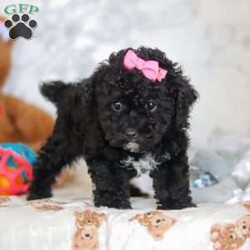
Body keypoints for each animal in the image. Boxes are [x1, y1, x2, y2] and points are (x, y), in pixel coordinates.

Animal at [27, 46, 197, 209]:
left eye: (151, 105)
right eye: (117, 105)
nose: (130, 133)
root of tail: (69, 90)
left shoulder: (172, 151)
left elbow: (172, 181)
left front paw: (177, 205)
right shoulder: (104, 153)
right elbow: (111, 180)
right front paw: (113, 205)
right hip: (65, 140)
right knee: (47, 163)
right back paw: (37, 193)